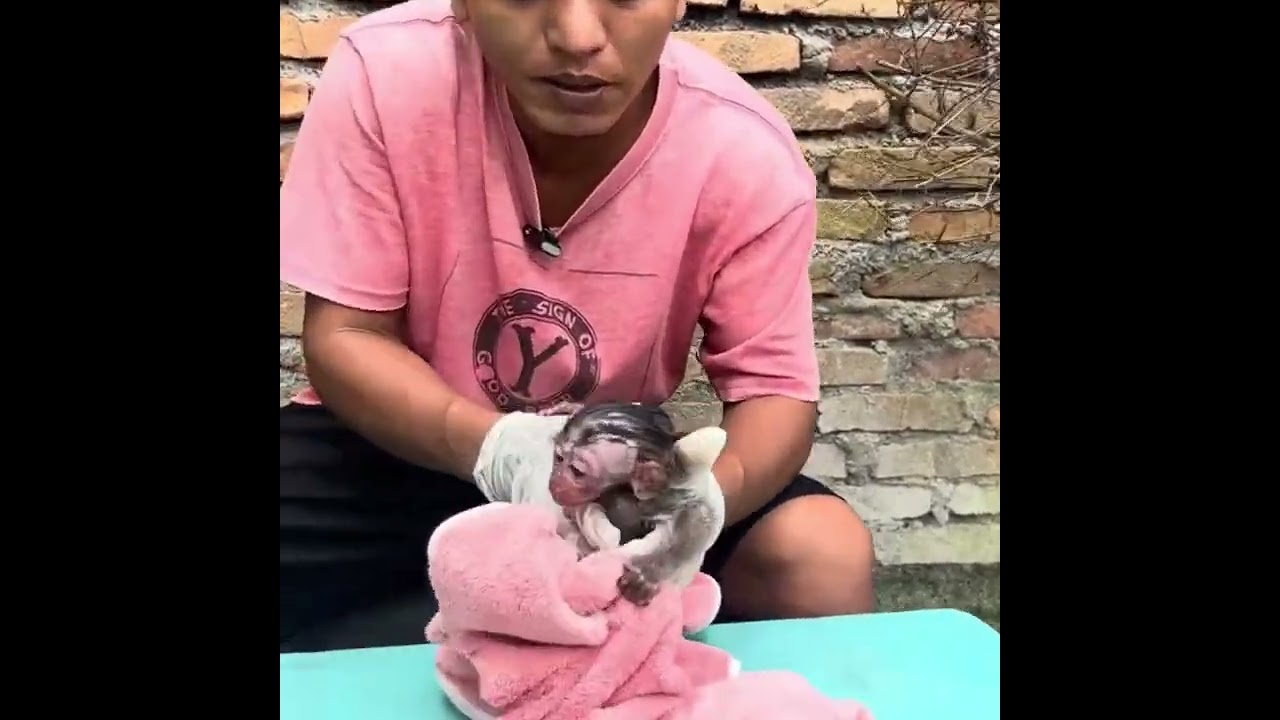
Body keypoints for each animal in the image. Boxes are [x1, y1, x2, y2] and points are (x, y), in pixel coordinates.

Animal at [540, 401, 724, 607]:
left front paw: (649, 575)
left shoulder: (666, 495)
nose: (555, 481)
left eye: (577, 471)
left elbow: (697, 515)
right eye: (559, 458)